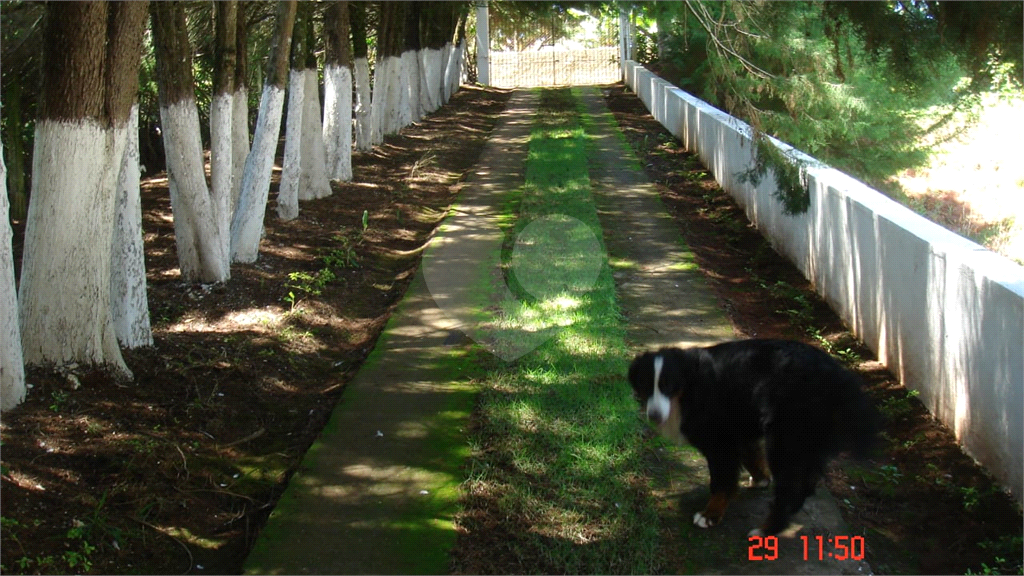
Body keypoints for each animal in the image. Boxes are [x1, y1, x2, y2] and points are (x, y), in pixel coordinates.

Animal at [626, 336, 876, 532]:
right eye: (645, 385)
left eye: (667, 385)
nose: (654, 415)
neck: (689, 388)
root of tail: (838, 377)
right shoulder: (739, 431)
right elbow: (751, 458)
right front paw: (761, 479)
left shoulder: (720, 441)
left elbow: (721, 481)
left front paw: (710, 514)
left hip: (785, 440)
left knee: (791, 489)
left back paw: (766, 530)